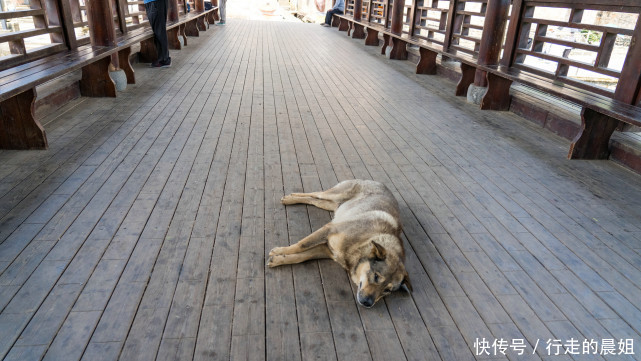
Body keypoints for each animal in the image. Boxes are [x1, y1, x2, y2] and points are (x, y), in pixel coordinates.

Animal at [268, 179, 410, 306]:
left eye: (387, 290)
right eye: (376, 276)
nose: (367, 303)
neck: (362, 244)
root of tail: (380, 182)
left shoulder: (326, 250)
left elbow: (301, 257)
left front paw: (278, 259)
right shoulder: (328, 230)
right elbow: (301, 245)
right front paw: (280, 251)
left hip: (334, 204)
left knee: (315, 200)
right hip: (336, 194)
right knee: (317, 193)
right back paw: (290, 197)